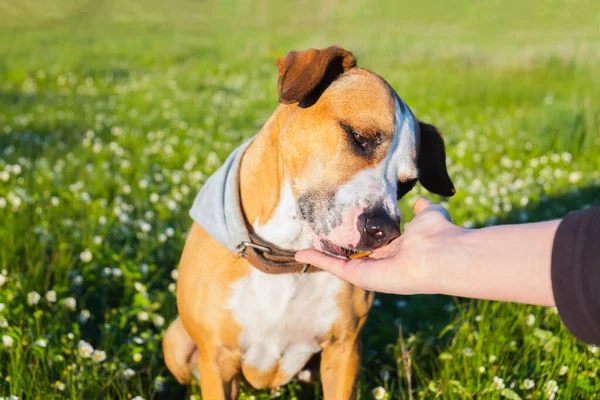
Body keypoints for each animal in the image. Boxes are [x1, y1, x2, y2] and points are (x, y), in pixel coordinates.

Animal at [162, 45, 452, 398]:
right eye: (359, 137)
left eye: (407, 185)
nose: (385, 232)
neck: (286, 250)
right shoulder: (217, 360)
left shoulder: (344, 351)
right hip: (175, 343)